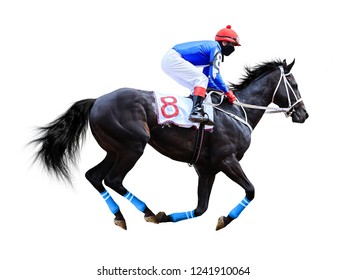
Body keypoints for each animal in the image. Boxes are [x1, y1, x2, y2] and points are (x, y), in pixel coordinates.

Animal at [29, 58, 310, 230]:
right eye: (295, 85)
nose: (303, 114)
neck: (237, 110)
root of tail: (97, 100)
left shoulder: (207, 168)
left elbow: (200, 208)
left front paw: (168, 218)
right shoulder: (226, 159)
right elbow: (250, 191)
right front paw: (225, 220)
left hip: (114, 148)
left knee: (94, 176)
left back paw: (122, 216)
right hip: (133, 146)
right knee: (113, 179)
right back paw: (147, 210)